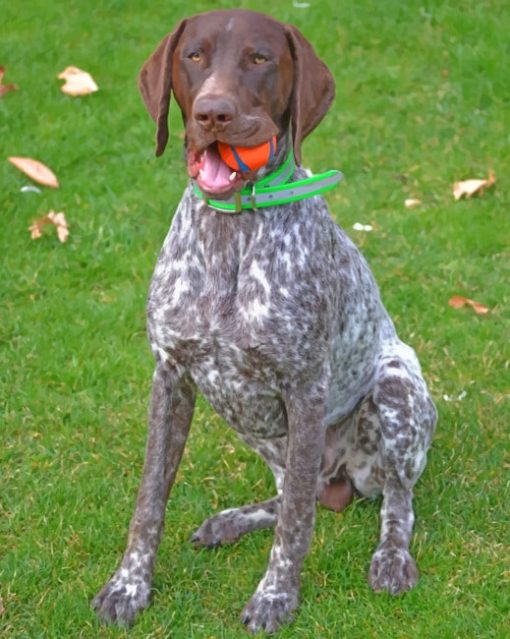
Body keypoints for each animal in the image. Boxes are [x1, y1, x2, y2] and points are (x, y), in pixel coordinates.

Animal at [91, 10, 434, 636]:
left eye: (259, 59)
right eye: (194, 57)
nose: (213, 114)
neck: (232, 231)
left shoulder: (304, 388)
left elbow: (296, 522)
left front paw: (277, 595)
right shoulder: (171, 377)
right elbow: (149, 499)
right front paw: (129, 585)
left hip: (396, 389)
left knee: (392, 499)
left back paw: (392, 558)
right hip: (249, 419)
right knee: (305, 489)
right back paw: (231, 521)